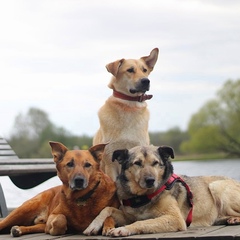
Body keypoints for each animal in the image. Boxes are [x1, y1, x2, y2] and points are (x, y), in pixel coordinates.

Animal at [83, 144, 240, 236]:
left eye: (155, 163)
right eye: (137, 163)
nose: (150, 180)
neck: (142, 197)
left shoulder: (175, 219)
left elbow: (143, 222)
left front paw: (123, 229)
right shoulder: (128, 216)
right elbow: (107, 209)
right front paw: (93, 226)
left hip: (216, 186)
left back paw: (234, 219)